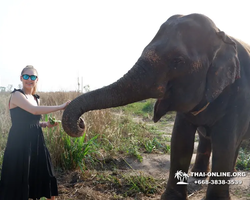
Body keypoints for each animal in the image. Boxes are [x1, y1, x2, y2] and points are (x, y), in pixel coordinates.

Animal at [62, 13, 250, 199]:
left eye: (178, 61)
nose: (81, 123)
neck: (221, 36)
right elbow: (180, 141)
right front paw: (171, 198)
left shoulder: (239, 96)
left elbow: (224, 144)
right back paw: (200, 176)